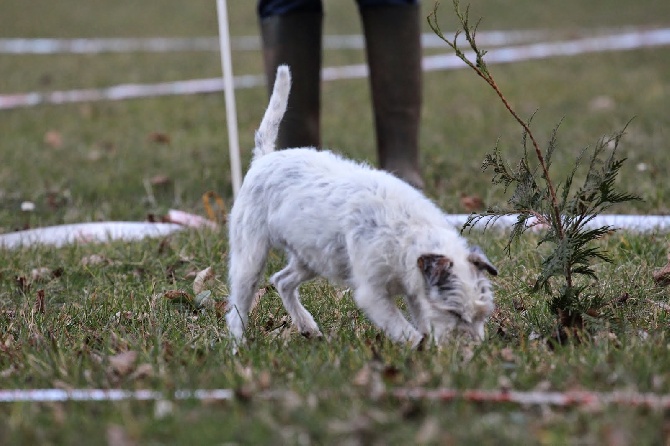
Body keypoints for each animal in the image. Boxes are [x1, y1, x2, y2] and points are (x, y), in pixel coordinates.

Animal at [228, 64, 496, 346]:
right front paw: (421, 347)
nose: (474, 348)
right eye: (454, 313)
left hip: (313, 258)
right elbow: (405, 330)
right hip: (250, 258)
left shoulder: (414, 293)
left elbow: (422, 319)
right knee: (237, 309)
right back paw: (239, 346)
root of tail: (263, 159)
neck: (408, 232)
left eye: (482, 315)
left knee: (282, 281)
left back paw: (307, 326)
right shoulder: (374, 295)